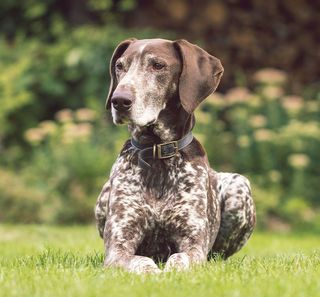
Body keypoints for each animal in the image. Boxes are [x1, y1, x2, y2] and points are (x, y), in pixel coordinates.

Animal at [94, 38, 256, 272]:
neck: (156, 152)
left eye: (158, 65)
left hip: (239, 186)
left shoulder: (194, 245)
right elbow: (141, 260)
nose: (119, 100)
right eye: (120, 66)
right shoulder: (118, 247)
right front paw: (152, 272)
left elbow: (180, 259)